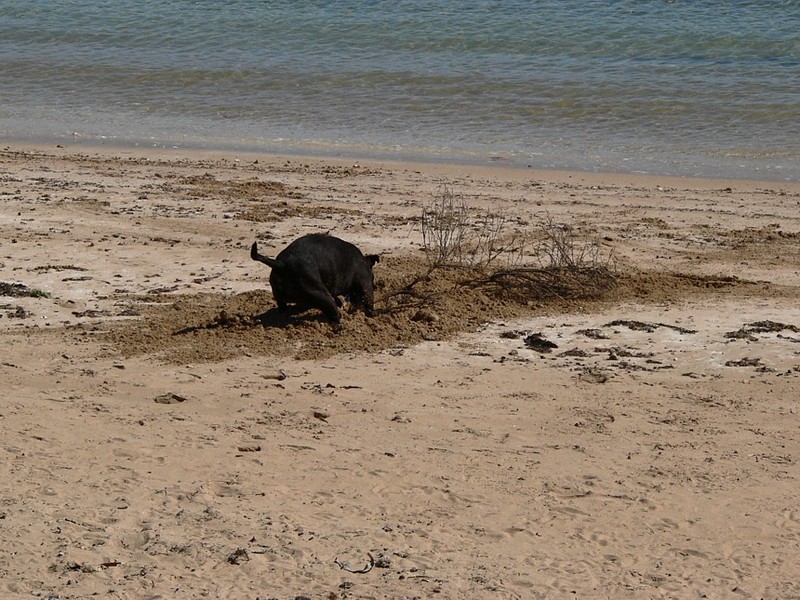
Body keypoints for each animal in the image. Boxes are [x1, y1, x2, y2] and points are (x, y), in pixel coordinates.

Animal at [252, 233, 380, 324]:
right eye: (372, 277)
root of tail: (282, 264)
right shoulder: (365, 286)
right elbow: (368, 302)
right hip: (320, 293)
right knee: (334, 313)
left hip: (284, 298)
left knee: (285, 309)